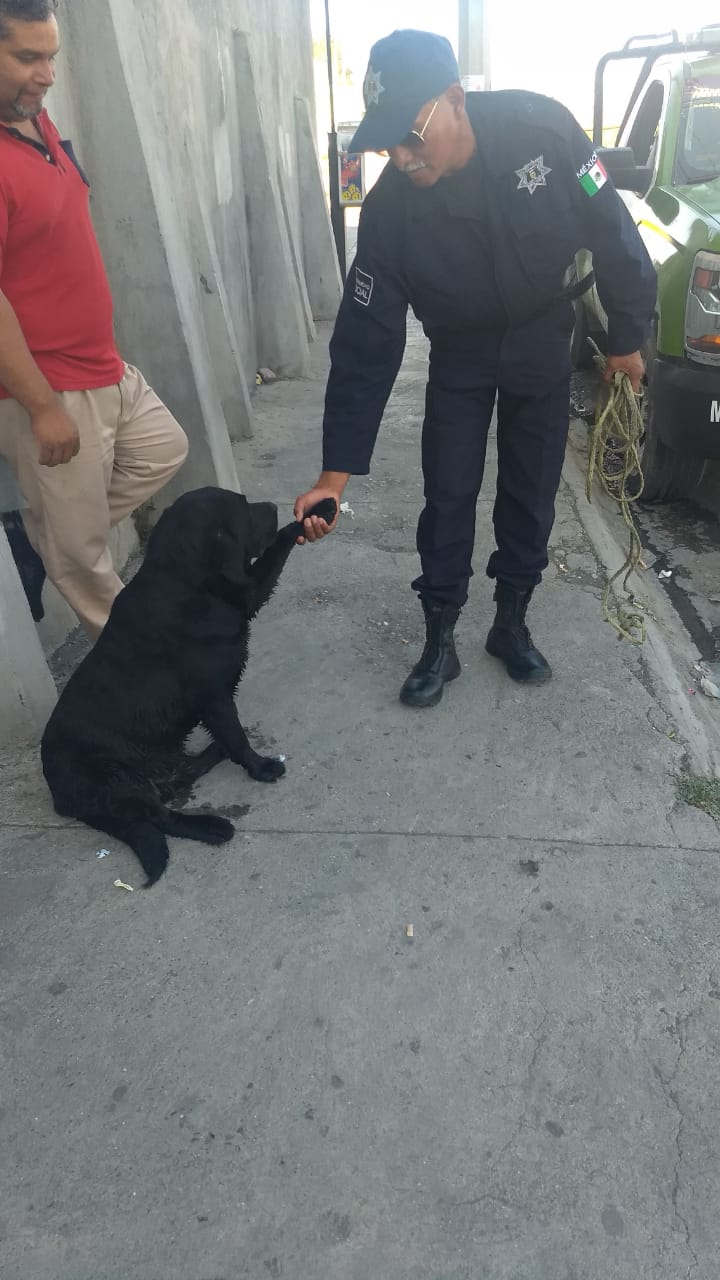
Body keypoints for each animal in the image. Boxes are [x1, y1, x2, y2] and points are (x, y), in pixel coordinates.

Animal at [41, 488, 335, 890]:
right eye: (244, 507)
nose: (273, 507)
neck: (181, 578)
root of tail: (58, 795)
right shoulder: (215, 695)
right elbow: (237, 736)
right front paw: (259, 767)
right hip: (116, 774)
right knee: (160, 817)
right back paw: (213, 826)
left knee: (180, 778)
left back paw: (212, 754)